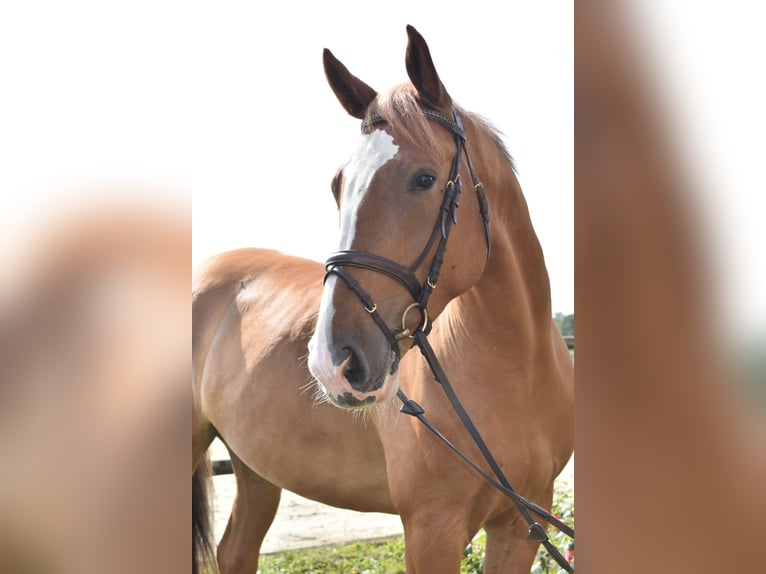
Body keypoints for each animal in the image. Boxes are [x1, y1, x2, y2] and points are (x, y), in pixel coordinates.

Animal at [195, 24, 572, 572]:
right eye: (338, 184)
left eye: (424, 179)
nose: (332, 361)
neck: (517, 372)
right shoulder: (433, 531)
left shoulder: (523, 525)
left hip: (255, 466)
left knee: (236, 550)